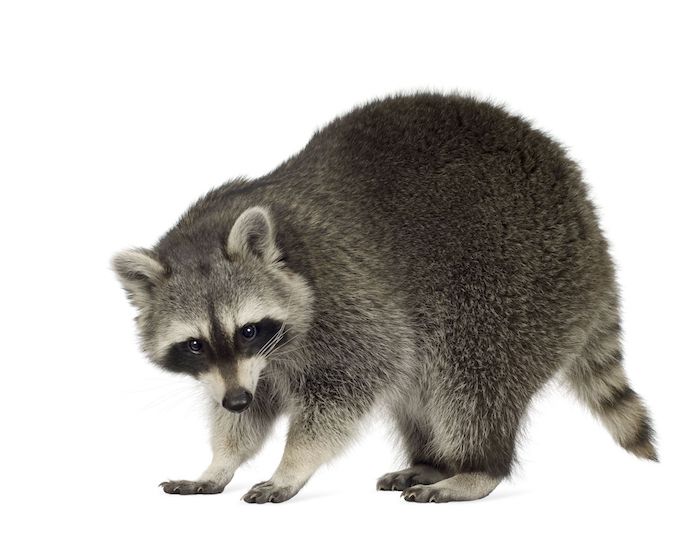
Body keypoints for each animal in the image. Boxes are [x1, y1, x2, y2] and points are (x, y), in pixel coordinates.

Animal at [112, 93, 657, 504]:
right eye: (195, 344)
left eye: (248, 329)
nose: (236, 399)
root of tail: (591, 228)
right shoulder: (247, 368)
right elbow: (249, 411)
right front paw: (220, 460)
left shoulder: (347, 298)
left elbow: (353, 380)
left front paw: (292, 464)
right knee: (421, 388)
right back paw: (433, 461)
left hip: (520, 283)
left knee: (472, 378)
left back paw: (477, 467)